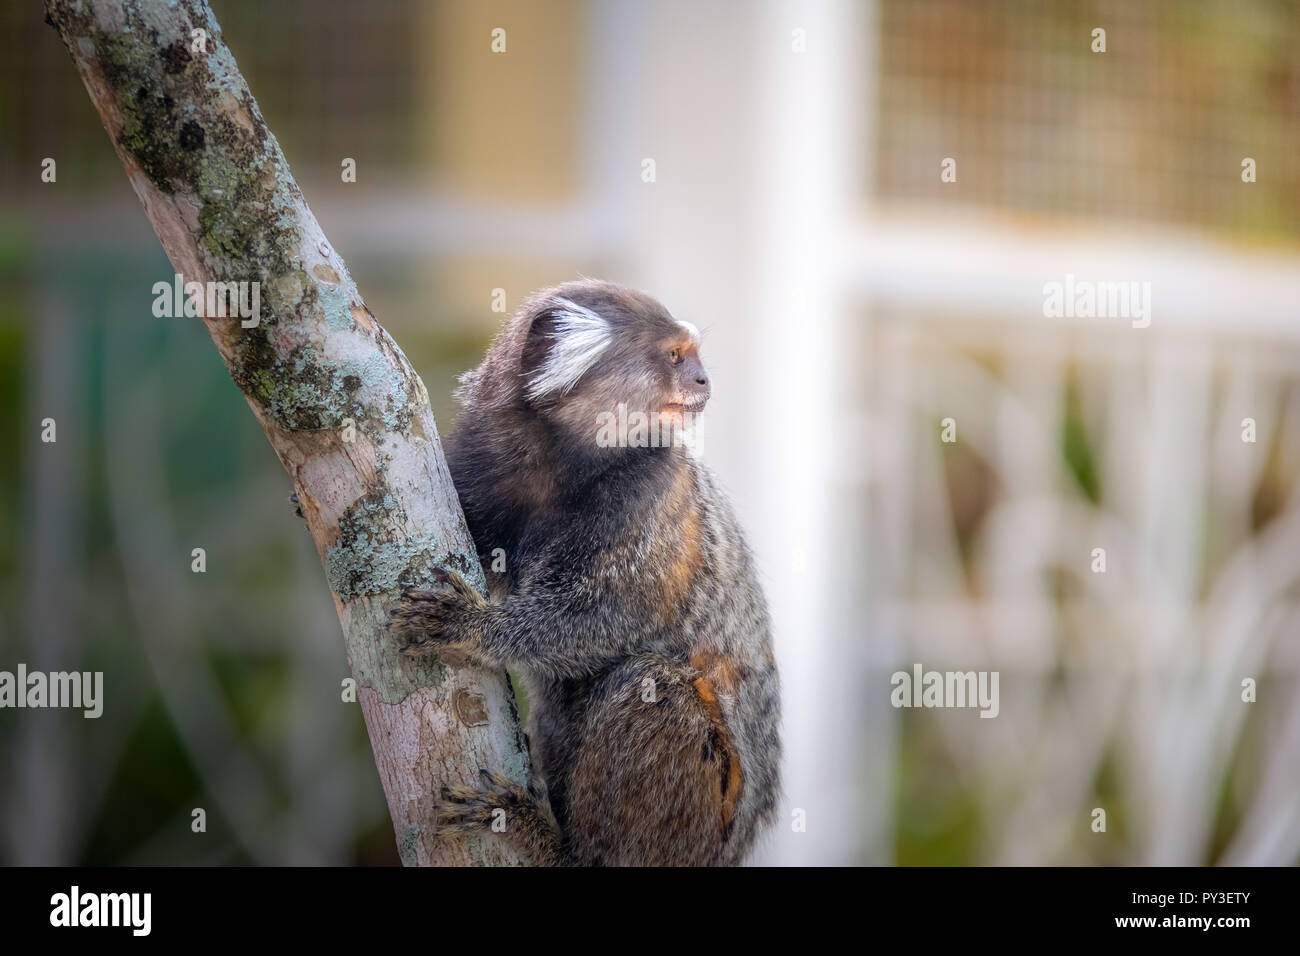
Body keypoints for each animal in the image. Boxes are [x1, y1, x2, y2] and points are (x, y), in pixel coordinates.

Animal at [389, 279, 780, 866]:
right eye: (675, 356)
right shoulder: (474, 464)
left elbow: (612, 619)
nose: (703, 380)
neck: (560, 462)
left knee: (655, 687)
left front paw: (472, 628)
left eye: (691, 356)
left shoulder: (650, 491)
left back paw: (548, 841)